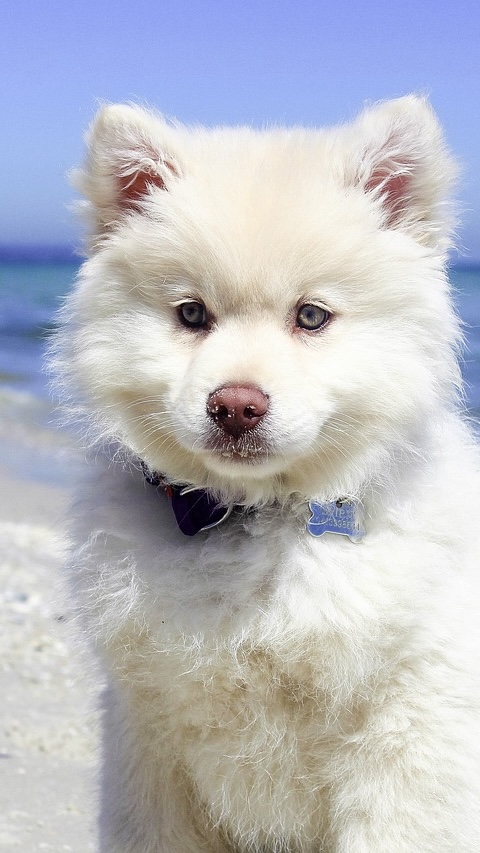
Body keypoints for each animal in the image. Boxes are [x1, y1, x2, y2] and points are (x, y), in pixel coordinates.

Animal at [53, 96, 480, 851]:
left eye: (311, 316)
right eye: (192, 314)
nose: (235, 405)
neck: (255, 525)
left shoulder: (407, 736)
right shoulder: (150, 744)